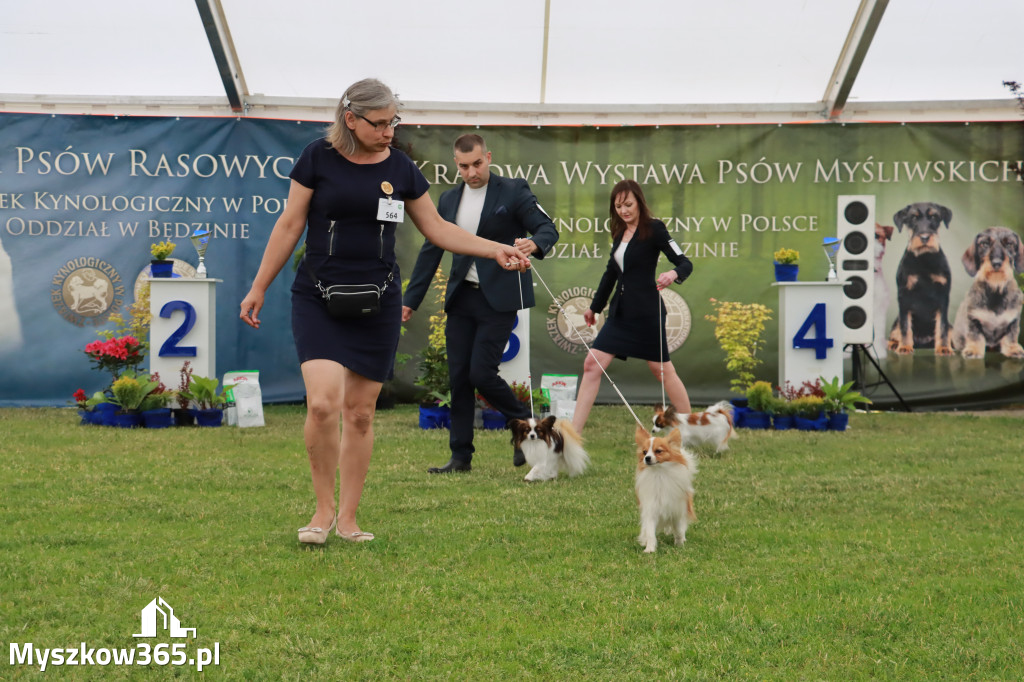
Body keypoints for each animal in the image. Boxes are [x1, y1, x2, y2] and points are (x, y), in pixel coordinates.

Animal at [888, 200, 958, 356]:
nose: (925, 237)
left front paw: (943, 348)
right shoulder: (904, 297)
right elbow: (905, 326)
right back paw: (894, 344)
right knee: (895, 332)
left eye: (934, 217)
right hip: (896, 321)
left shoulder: (943, 297)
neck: (924, 259)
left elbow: (942, 327)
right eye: (913, 218)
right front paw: (904, 347)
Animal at [950, 225, 1024, 358]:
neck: (995, 290)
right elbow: (975, 336)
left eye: (1009, 244)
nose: (996, 263)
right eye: (984, 244)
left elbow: (1011, 335)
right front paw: (974, 350)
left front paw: (1013, 348)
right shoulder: (973, 319)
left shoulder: (1013, 320)